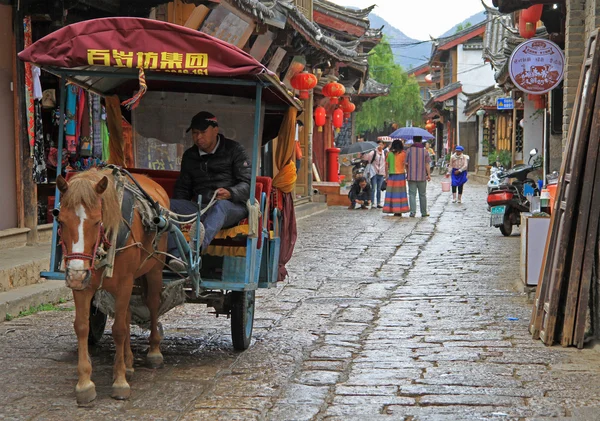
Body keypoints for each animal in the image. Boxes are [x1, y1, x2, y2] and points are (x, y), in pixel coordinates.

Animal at [55, 167, 170, 404]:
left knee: (152, 304)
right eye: (60, 221)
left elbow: (118, 330)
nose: (76, 274)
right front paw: (85, 384)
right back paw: (129, 362)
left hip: (153, 269)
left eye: (97, 221)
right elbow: (82, 327)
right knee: (126, 315)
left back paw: (154, 351)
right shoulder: (84, 285)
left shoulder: (125, 282)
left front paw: (120, 381)